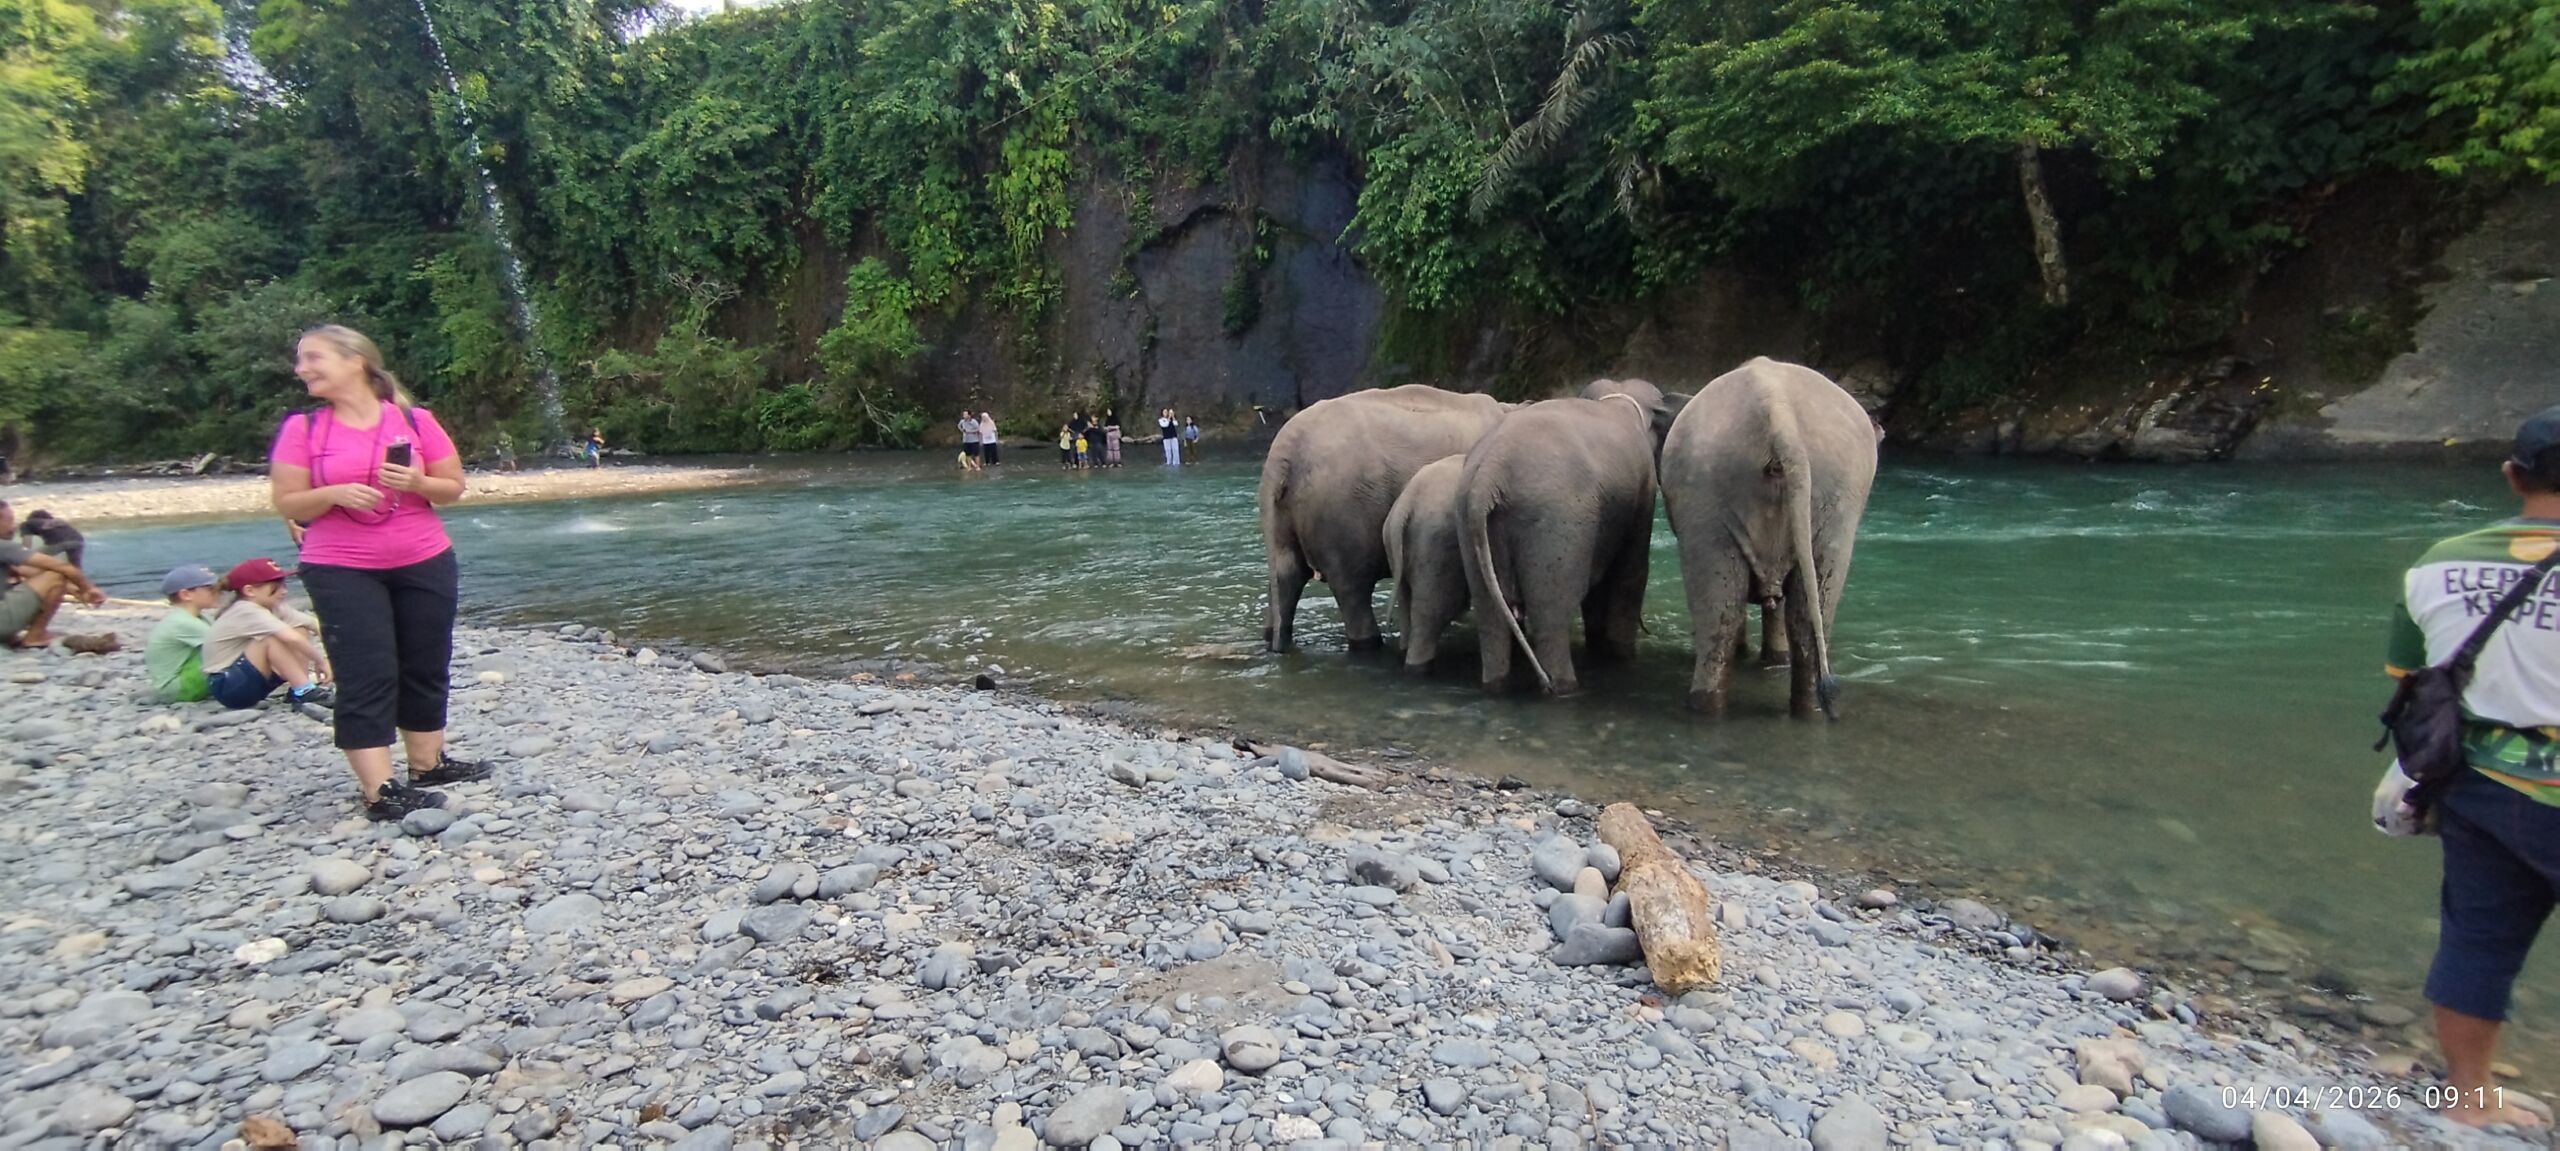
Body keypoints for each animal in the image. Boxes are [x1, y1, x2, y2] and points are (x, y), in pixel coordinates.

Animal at [1460, 378, 1684, 695]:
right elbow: (1631, 574)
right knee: (1550, 619)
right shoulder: (1644, 489)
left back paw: (1496, 687)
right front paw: (1621, 657)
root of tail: (1488, 477)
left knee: (1490, 617)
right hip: (1554, 521)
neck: (1615, 402)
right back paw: (1563, 688)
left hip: (1469, 523)